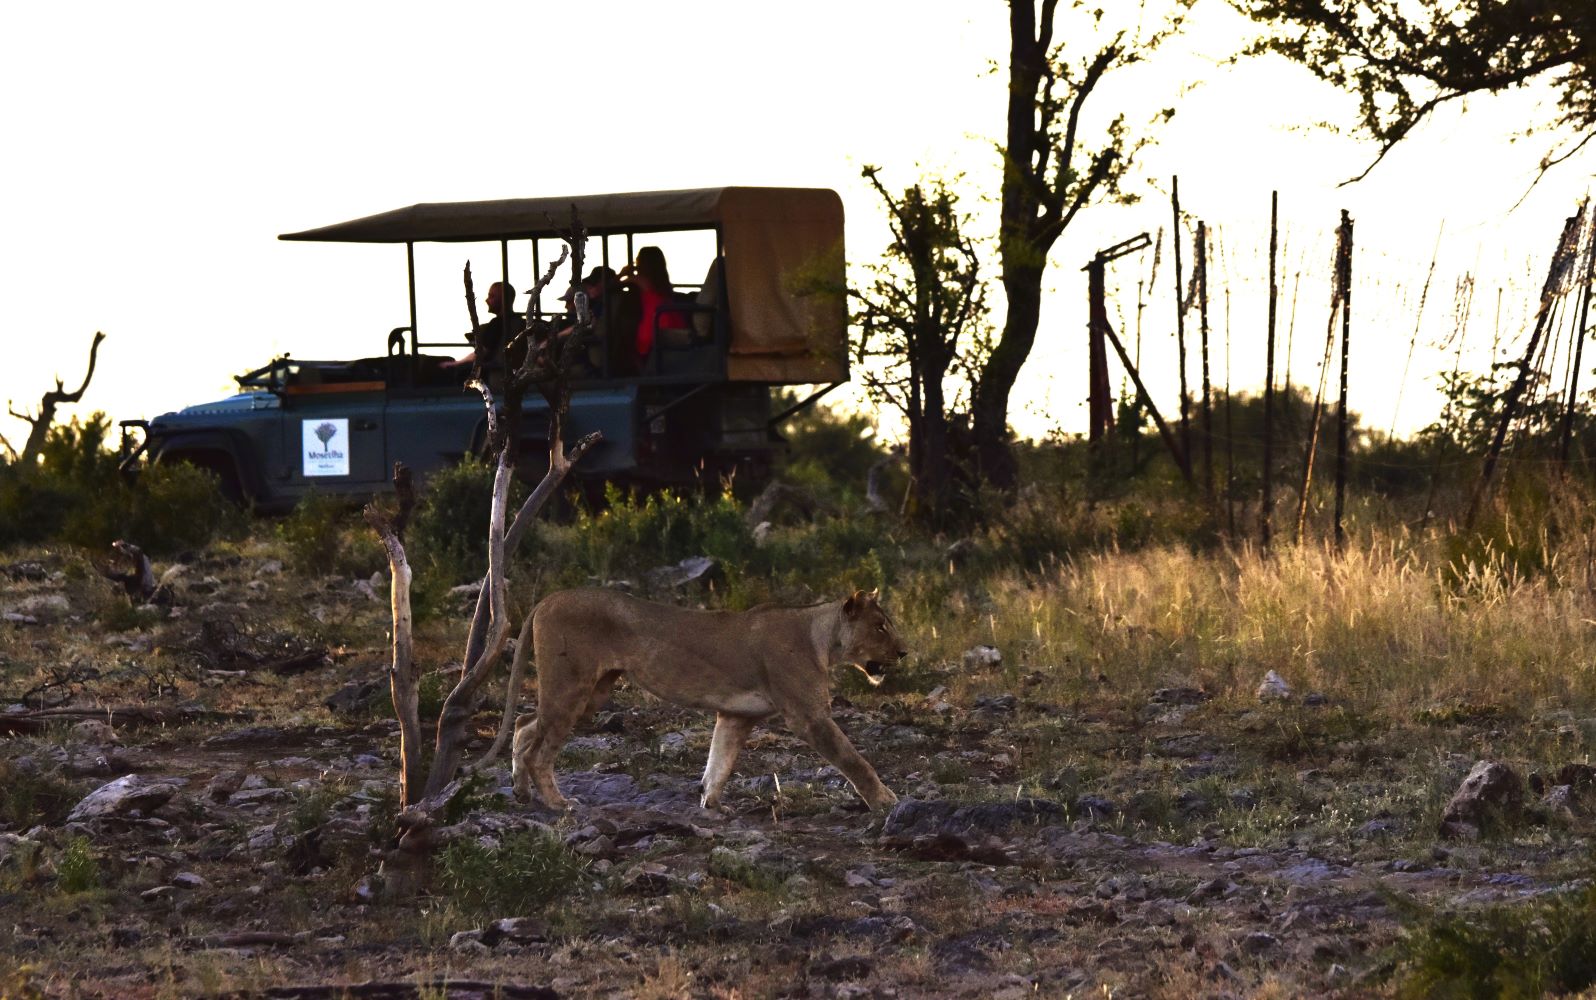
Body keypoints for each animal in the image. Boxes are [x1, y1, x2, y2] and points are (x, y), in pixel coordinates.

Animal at [507, 587, 907, 812]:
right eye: (880, 626)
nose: (904, 652)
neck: (821, 639)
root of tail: (547, 599)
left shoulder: (736, 717)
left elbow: (720, 761)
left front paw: (711, 803)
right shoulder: (809, 716)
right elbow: (854, 760)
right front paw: (886, 801)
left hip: (594, 690)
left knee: (523, 725)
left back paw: (521, 792)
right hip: (572, 686)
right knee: (538, 752)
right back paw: (558, 805)